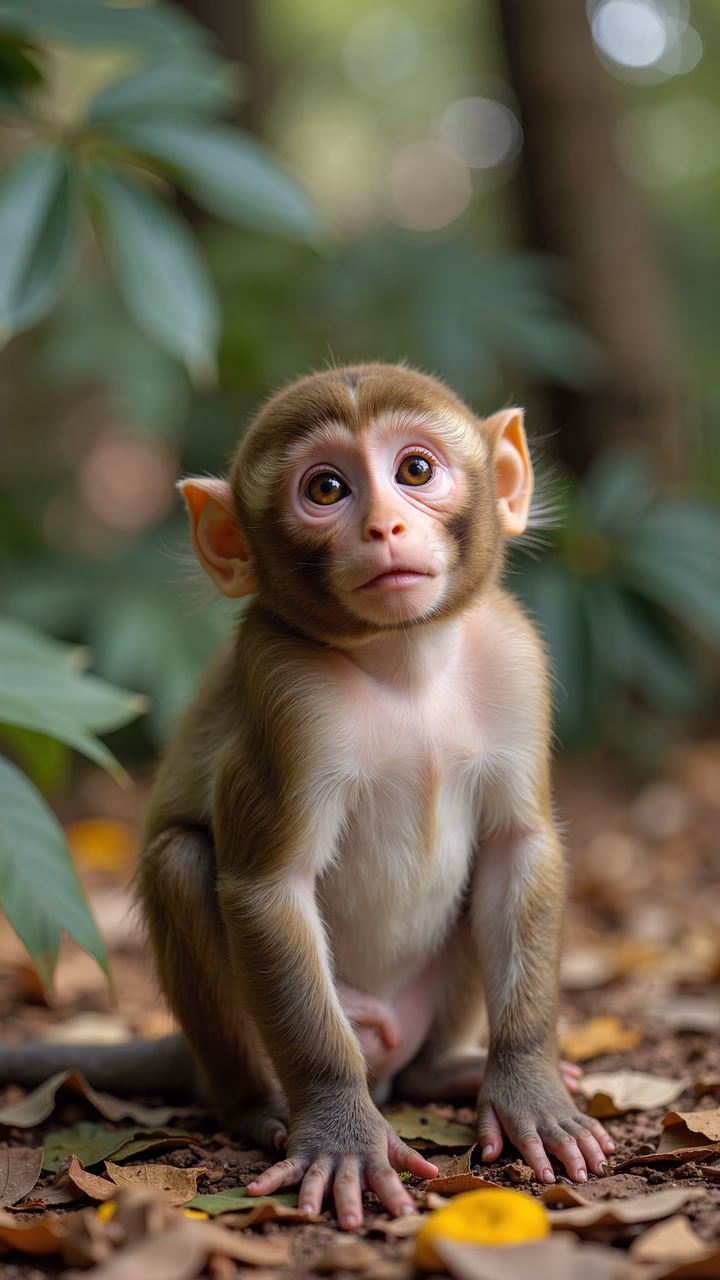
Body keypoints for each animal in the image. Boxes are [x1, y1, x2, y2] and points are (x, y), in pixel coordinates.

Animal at [0, 365, 613, 1229]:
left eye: (414, 470)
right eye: (326, 488)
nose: (386, 526)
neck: (403, 663)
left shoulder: (516, 659)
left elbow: (517, 848)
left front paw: (529, 1089)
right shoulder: (287, 696)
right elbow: (267, 888)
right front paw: (339, 1131)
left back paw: (444, 1074)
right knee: (181, 862)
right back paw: (258, 1110)